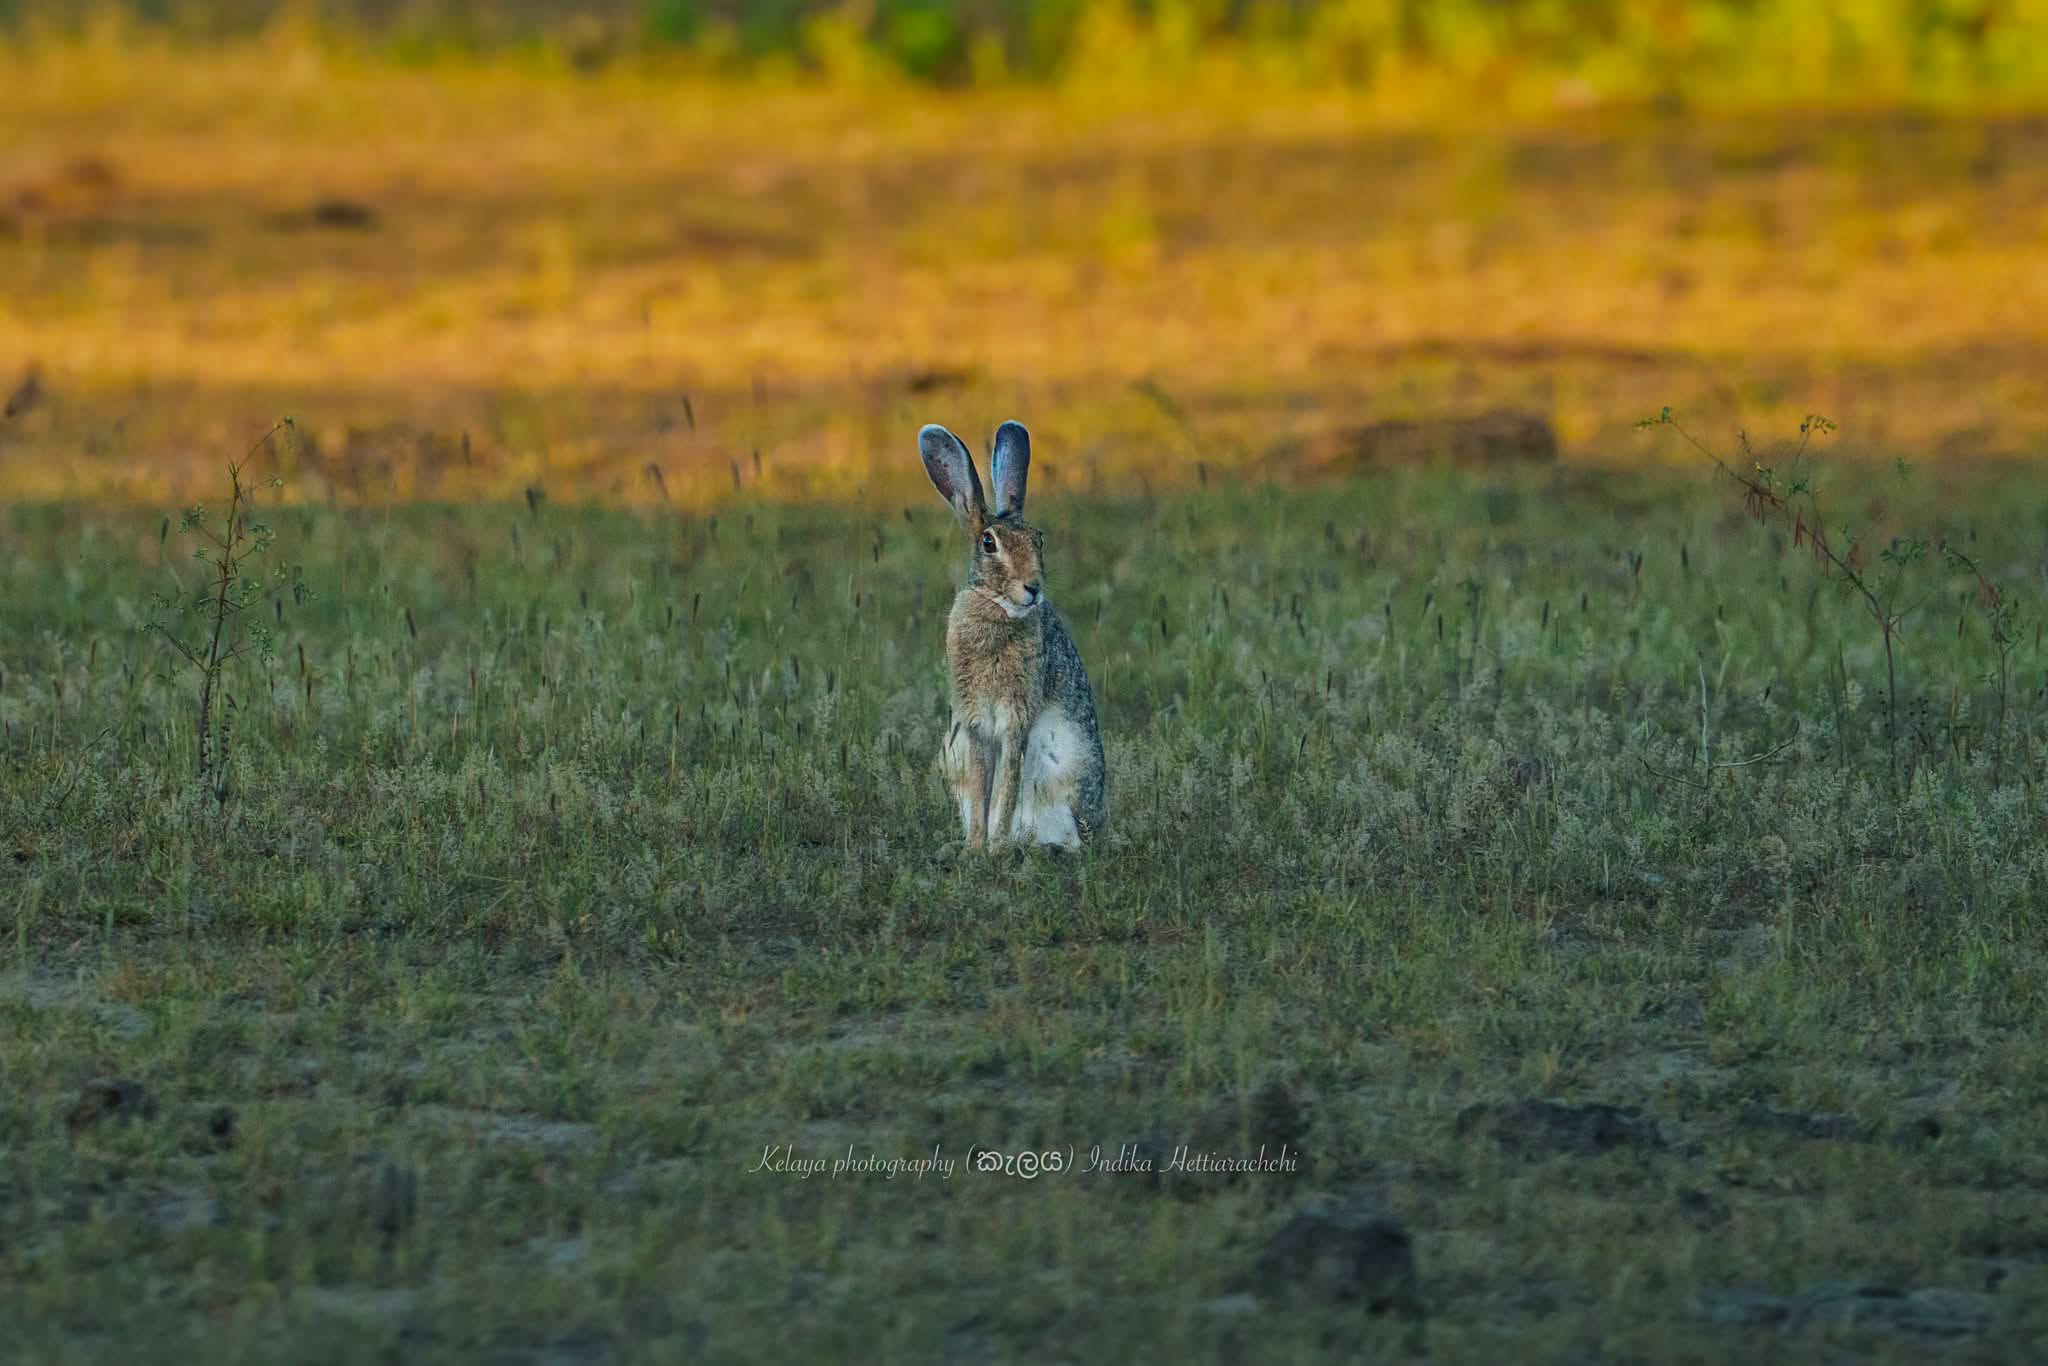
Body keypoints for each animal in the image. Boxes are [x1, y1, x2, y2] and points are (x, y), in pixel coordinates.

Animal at [920, 420, 1106, 851]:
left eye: (1039, 539)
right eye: (989, 543)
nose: (1033, 587)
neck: (996, 608)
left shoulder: (1016, 718)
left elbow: (1005, 786)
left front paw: (996, 846)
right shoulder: (973, 724)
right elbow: (981, 787)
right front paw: (976, 848)